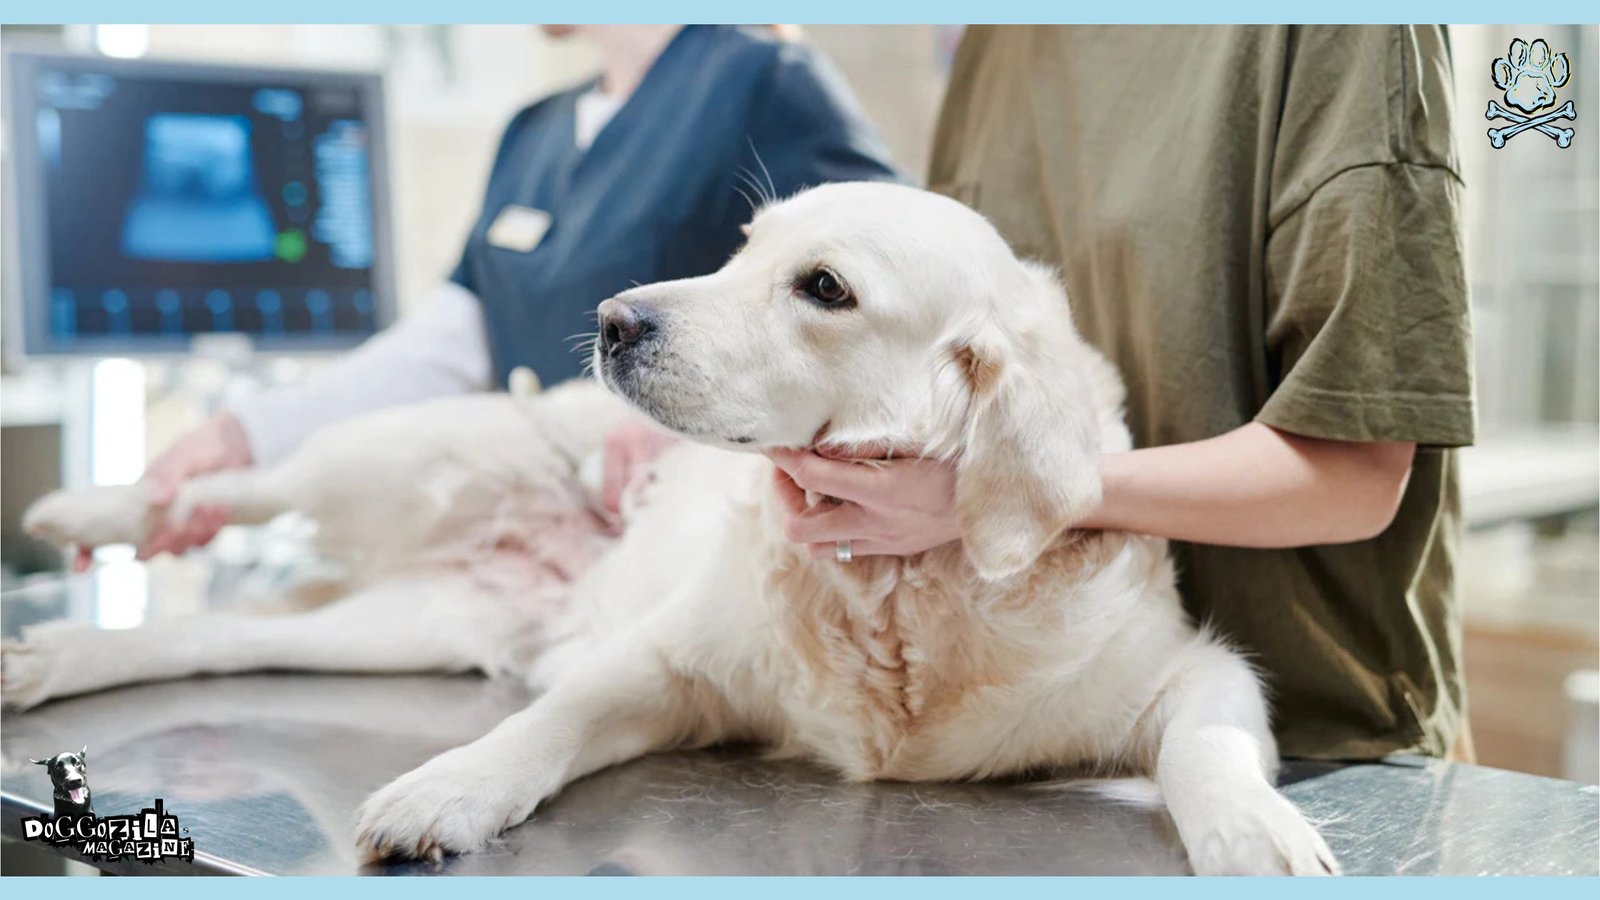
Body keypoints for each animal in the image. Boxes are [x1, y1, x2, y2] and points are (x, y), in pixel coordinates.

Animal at [12, 178, 1337, 871]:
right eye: (741, 248)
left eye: (823, 287)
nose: (611, 319)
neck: (895, 591)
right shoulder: (668, 662)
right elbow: (545, 723)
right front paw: (449, 787)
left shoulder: (1192, 672)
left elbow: (1206, 745)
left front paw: (1254, 833)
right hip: (411, 450)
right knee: (251, 486)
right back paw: (92, 503)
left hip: (400, 623)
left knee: (215, 635)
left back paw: (53, 656)